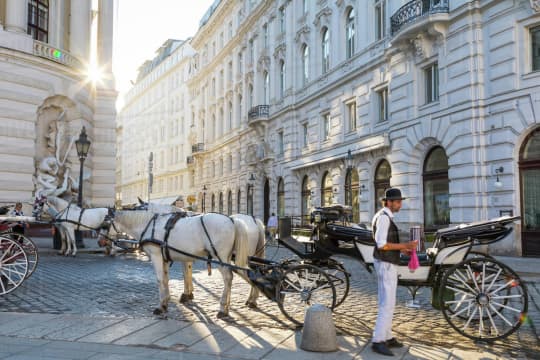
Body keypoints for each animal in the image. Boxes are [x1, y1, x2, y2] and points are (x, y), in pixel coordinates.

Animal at [110, 208, 253, 318]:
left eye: (106, 222)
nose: (107, 243)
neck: (150, 225)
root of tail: (232, 220)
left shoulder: (156, 256)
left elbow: (160, 279)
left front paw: (160, 306)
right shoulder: (164, 258)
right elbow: (166, 279)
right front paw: (166, 302)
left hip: (220, 257)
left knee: (228, 277)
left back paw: (223, 308)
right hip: (226, 258)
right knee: (233, 277)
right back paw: (228, 307)